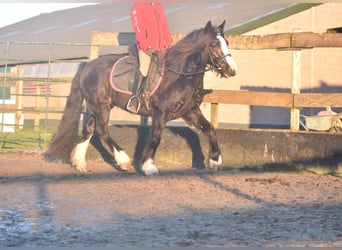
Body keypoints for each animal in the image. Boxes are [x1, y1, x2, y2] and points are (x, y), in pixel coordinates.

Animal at [44, 20, 238, 175]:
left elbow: (210, 129)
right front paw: (148, 166)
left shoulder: (190, 111)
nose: (232, 70)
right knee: (102, 131)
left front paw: (215, 161)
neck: (180, 74)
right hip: (101, 106)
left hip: (98, 106)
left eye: (227, 42)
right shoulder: (160, 113)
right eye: (213, 44)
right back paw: (123, 161)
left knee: (89, 129)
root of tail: (87, 65)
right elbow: (156, 137)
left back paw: (80, 163)